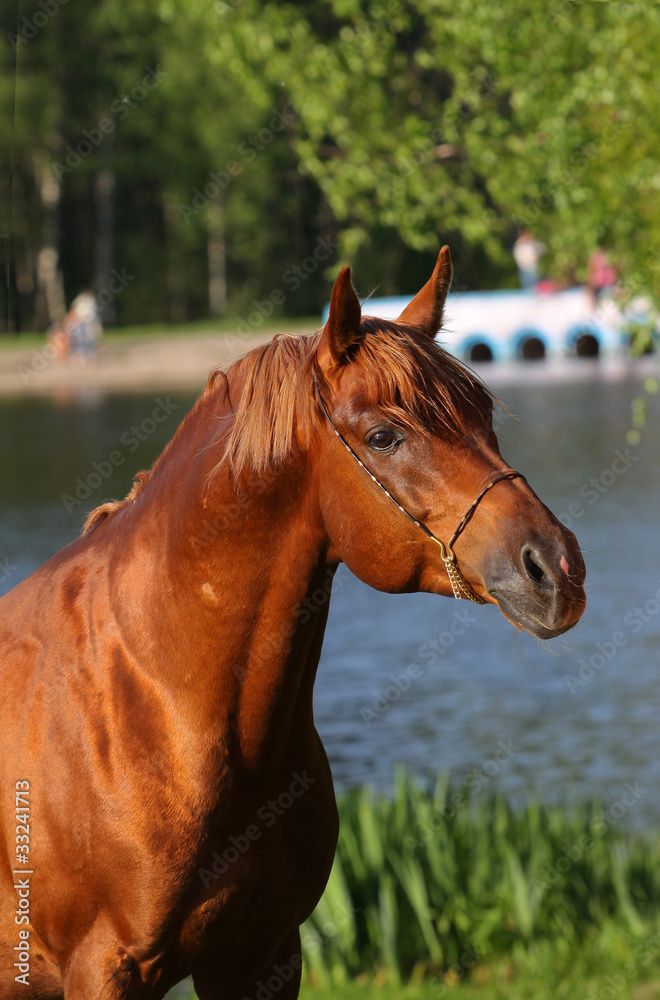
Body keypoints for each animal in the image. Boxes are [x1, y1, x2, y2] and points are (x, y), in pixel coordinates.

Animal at [0, 246, 586, 1000]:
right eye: (384, 436)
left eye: (484, 411)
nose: (557, 567)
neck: (154, 701)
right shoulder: (106, 971)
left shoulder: (263, 954)